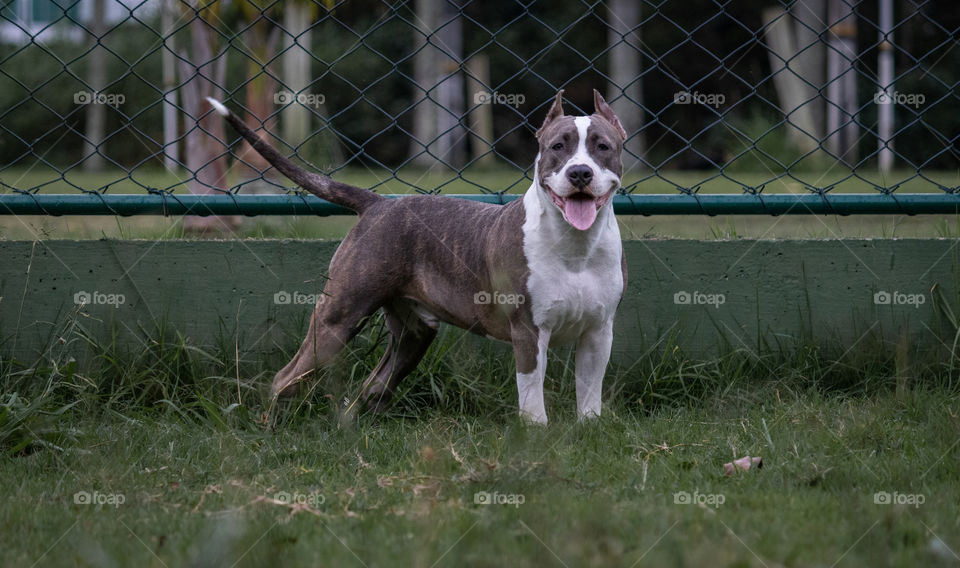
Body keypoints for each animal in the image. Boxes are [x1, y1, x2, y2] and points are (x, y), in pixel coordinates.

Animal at [208, 89, 632, 424]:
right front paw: (536, 438)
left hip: (413, 335)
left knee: (373, 386)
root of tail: (378, 203)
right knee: (286, 377)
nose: (580, 173)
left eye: (603, 147)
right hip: (338, 319)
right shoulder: (528, 332)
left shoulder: (599, 334)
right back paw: (270, 429)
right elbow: (532, 399)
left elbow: (589, 394)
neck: (575, 247)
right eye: (558, 147)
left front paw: (589, 430)